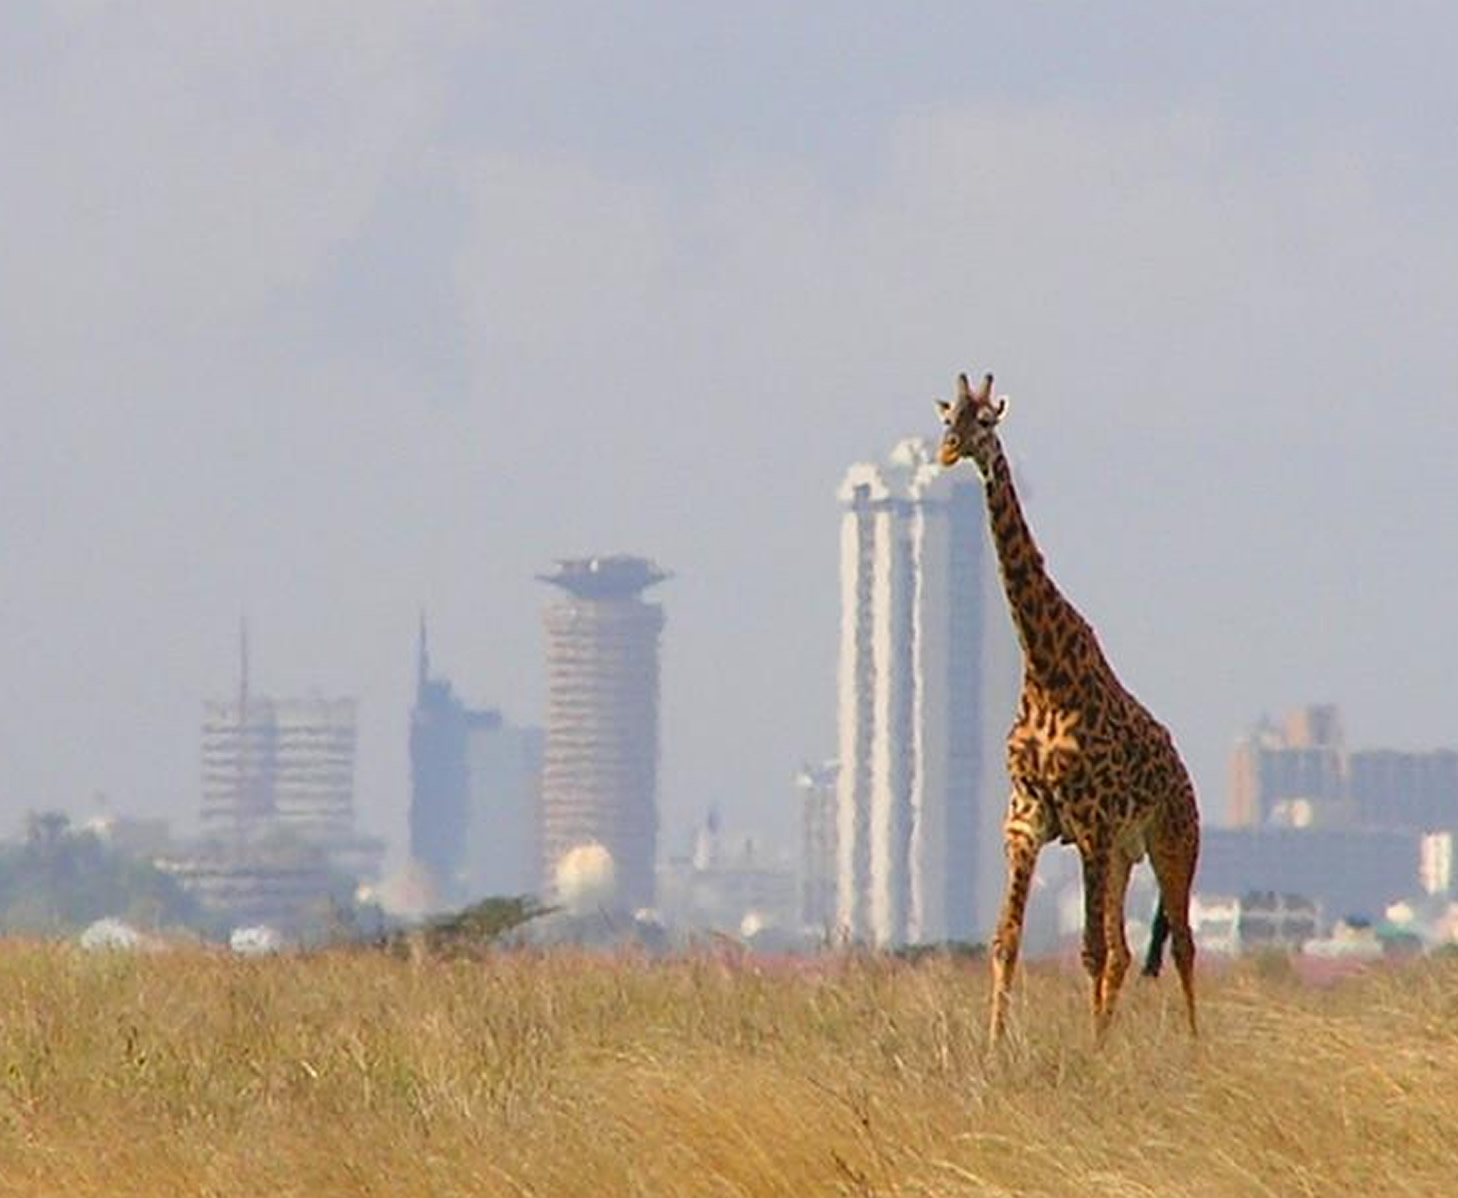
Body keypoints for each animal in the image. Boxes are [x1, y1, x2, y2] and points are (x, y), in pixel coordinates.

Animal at [938, 370, 1201, 1043]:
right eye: (947, 417)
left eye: (986, 422)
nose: (948, 451)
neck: (1046, 673)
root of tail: (1183, 771)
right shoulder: (1027, 820)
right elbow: (1006, 941)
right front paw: (994, 1047)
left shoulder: (1091, 821)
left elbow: (1090, 951)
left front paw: (1091, 1052)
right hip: (1124, 855)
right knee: (1131, 952)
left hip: (1171, 841)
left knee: (1183, 944)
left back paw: (1193, 1047)